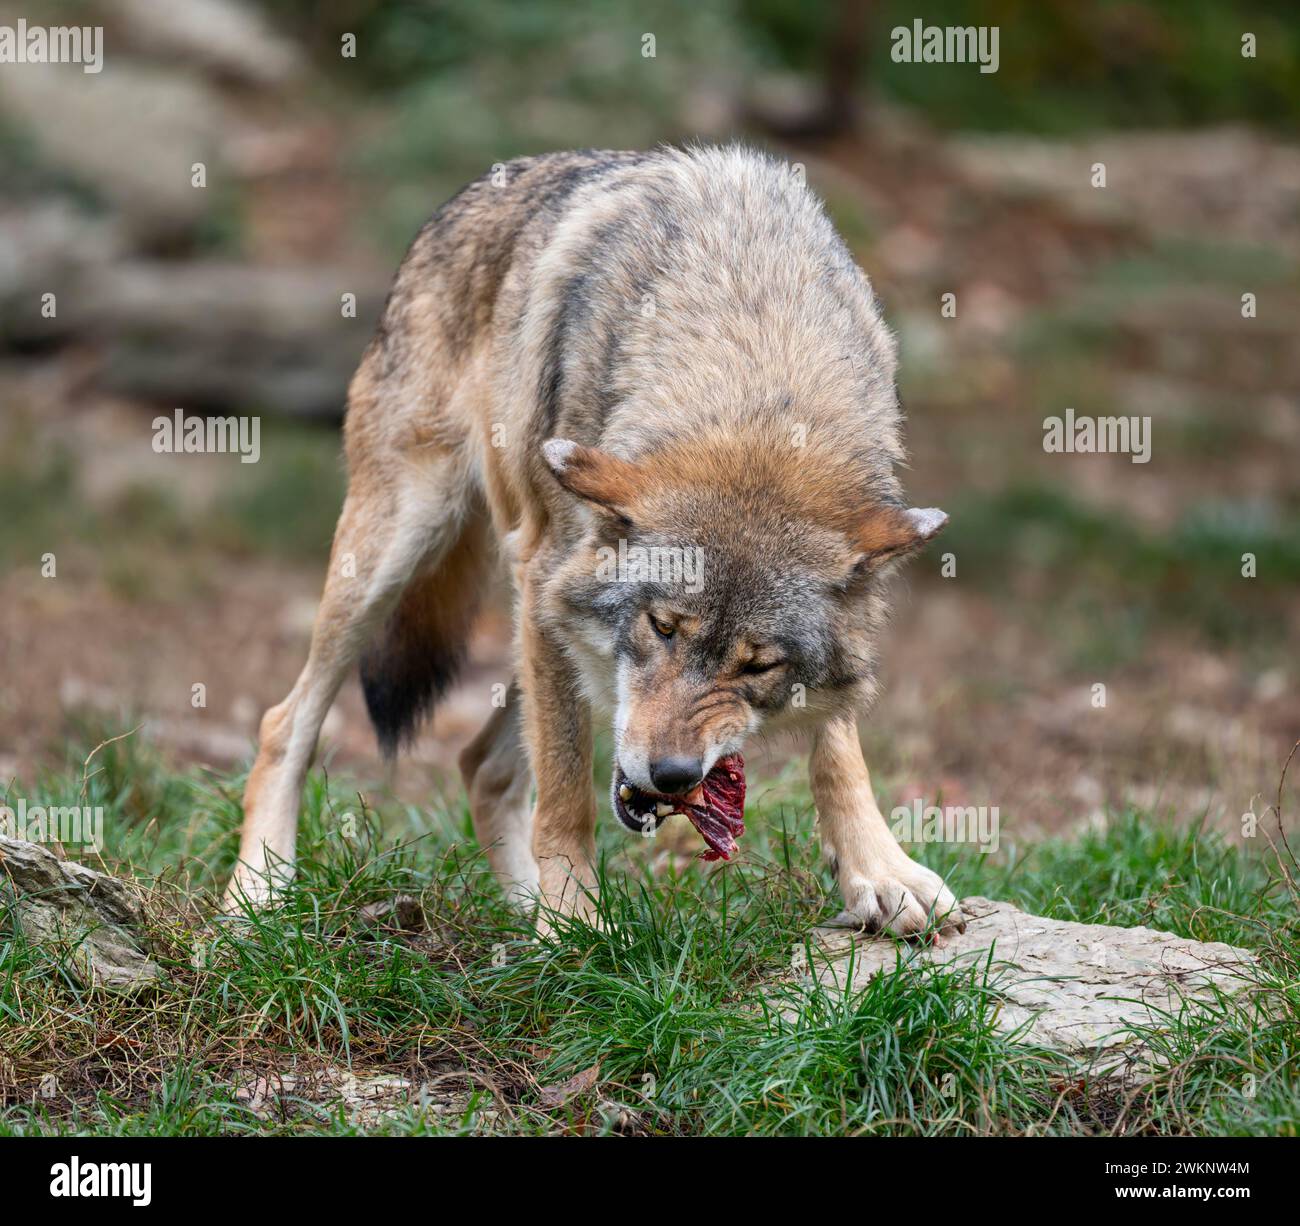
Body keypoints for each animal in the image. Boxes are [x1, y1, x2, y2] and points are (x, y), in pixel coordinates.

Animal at [228, 148, 967, 941]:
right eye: (663, 627)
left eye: (759, 664)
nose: (674, 776)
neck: (757, 357)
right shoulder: (546, 576)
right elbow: (565, 790)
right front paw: (575, 920)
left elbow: (839, 746)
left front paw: (880, 871)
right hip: (405, 549)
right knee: (284, 723)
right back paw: (257, 899)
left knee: (480, 763)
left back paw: (523, 911)